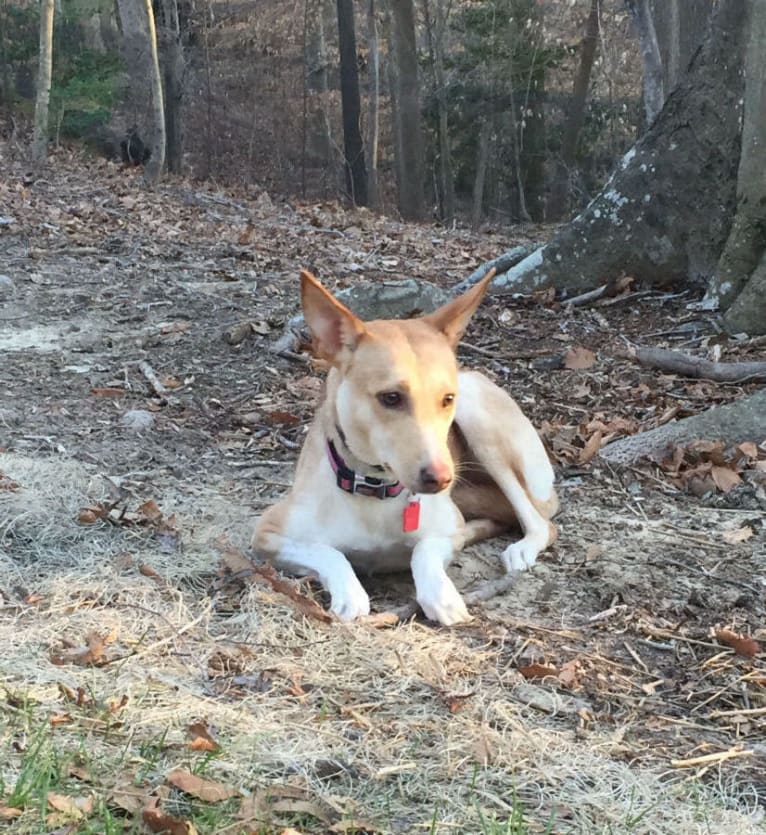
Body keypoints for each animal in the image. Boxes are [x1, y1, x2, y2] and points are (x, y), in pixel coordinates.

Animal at [252, 272, 560, 624]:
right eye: (391, 397)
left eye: (447, 399)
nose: (441, 478)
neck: (373, 488)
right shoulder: (267, 534)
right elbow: (329, 552)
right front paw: (350, 593)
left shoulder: (447, 528)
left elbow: (422, 551)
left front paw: (441, 594)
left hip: (482, 424)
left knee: (541, 522)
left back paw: (522, 547)